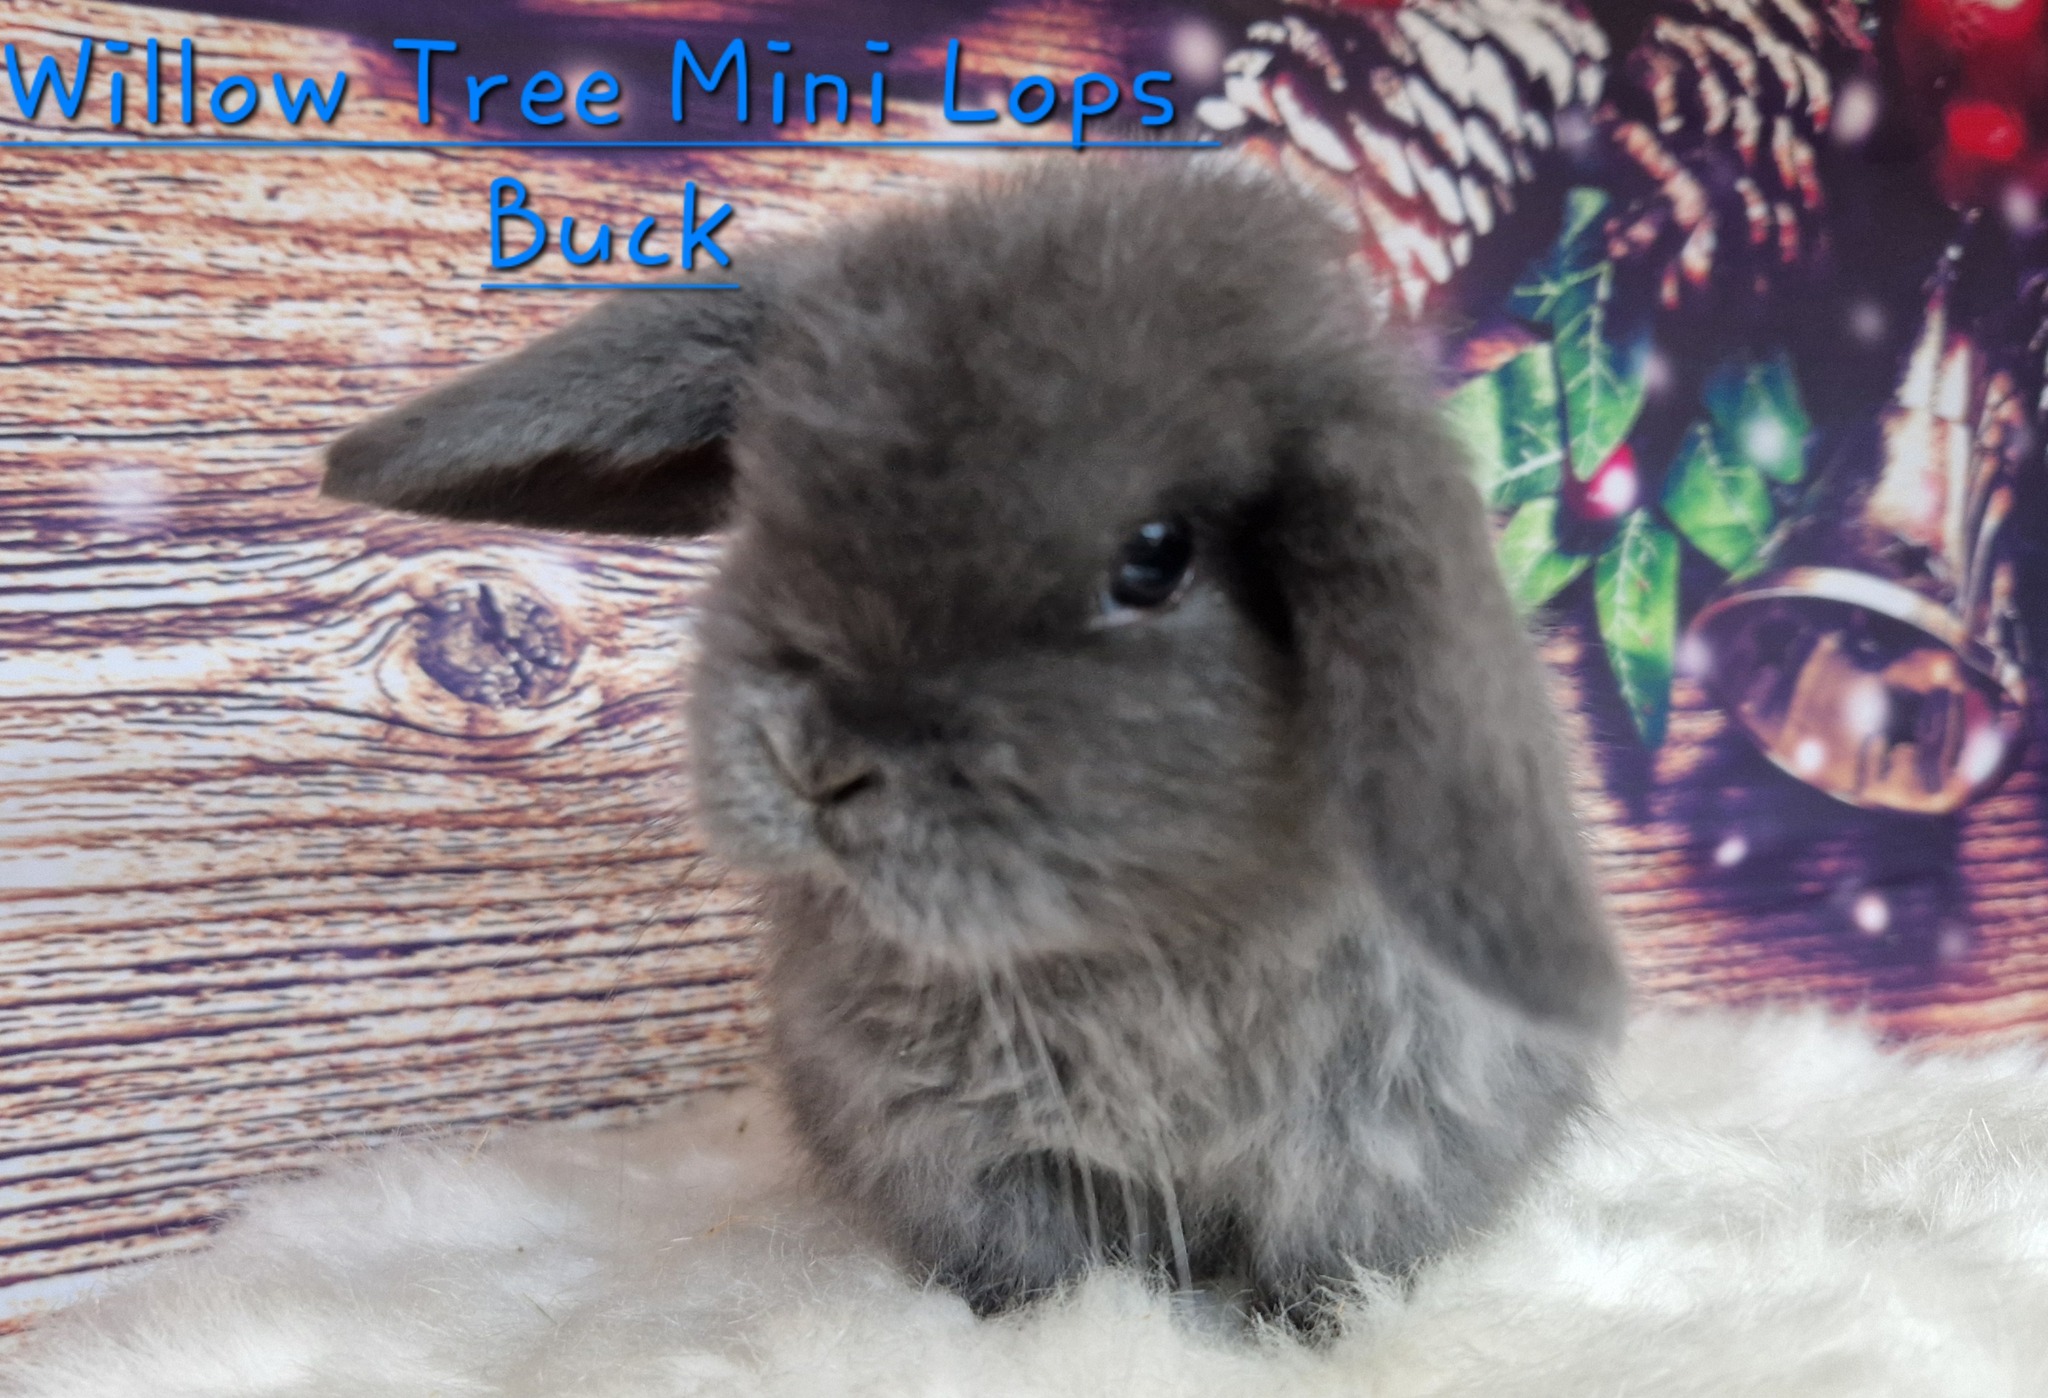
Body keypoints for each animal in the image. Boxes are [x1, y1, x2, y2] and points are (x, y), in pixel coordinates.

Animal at [322, 156, 1628, 1330]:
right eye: (768, 499)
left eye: (1153, 558)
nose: (816, 761)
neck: (1125, 937)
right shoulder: (952, 1149)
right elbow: (1028, 1271)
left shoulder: (1370, 1150)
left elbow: (1322, 1272)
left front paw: (1300, 1333)